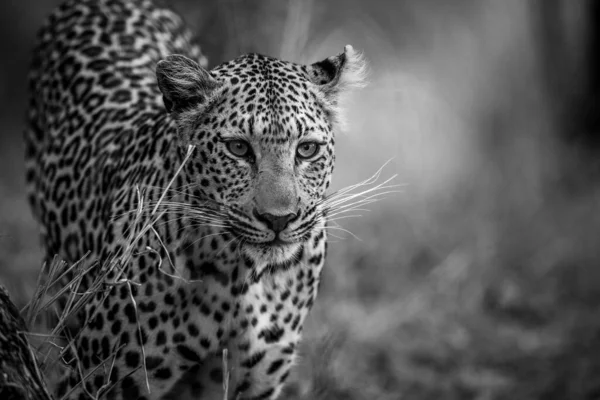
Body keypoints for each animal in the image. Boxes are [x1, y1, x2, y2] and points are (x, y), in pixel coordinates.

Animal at [24, 0, 366, 396]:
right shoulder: (99, 378)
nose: (279, 219)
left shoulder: (252, 382)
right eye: (238, 148)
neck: (240, 278)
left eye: (307, 149)